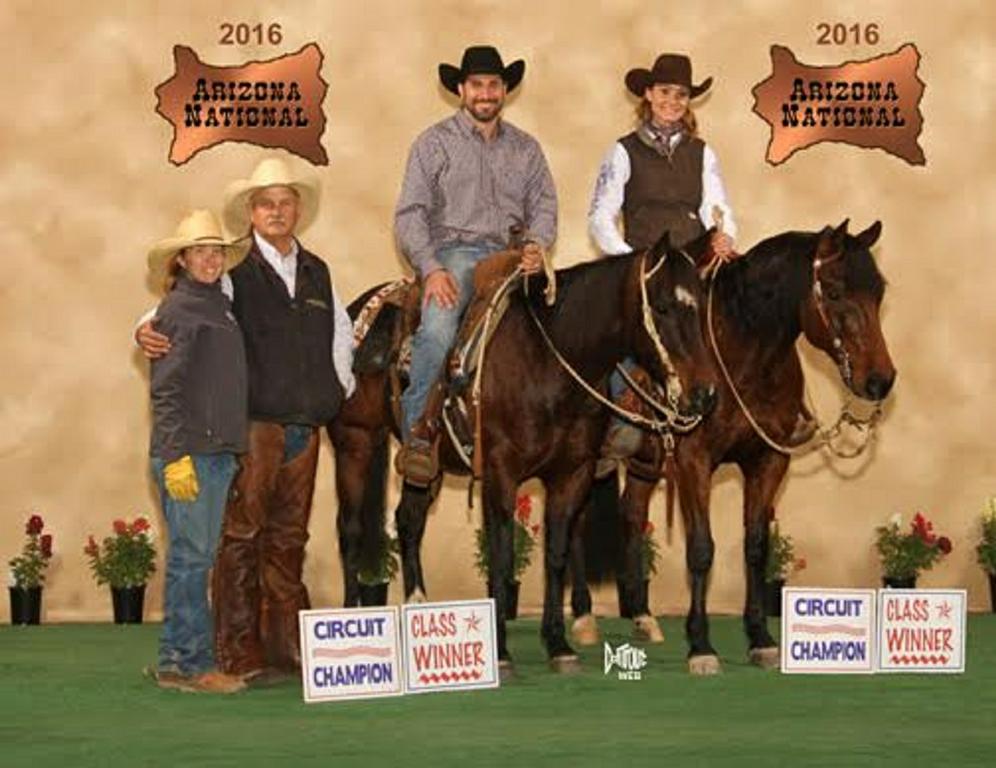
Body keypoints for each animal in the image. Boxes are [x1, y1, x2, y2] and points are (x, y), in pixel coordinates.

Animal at [330, 237, 718, 671]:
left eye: (701, 304)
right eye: (663, 306)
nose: (705, 394)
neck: (547, 361)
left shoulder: (572, 473)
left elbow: (556, 554)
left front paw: (559, 644)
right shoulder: (501, 472)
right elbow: (502, 558)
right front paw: (500, 650)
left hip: (427, 467)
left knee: (409, 521)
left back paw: (419, 607)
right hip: (354, 441)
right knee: (350, 529)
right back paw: (351, 618)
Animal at [569, 220, 896, 674]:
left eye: (879, 291)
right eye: (832, 291)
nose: (881, 379)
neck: (743, 355)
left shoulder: (769, 460)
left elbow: (755, 547)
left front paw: (760, 638)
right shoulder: (693, 460)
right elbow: (701, 549)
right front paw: (700, 645)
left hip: (643, 462)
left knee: (631, 514)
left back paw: (643, 617)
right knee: (575, 523)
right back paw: (583, 618)